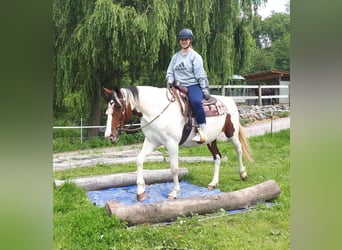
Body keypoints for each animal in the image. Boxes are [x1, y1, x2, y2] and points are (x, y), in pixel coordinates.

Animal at [103, 85, 252, 201]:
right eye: (108, 109)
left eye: (118, 107)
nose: (109, 135)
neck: (157, 111)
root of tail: (229, 101)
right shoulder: (152, 142)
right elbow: (139, 160)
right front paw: (140, 191)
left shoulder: (172, 143)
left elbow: (174, 168)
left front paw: (174, 192)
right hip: (211, 139)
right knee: (217, 157)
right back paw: (213, 183)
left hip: (231, 133)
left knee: (238, 149)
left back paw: (243, 174)